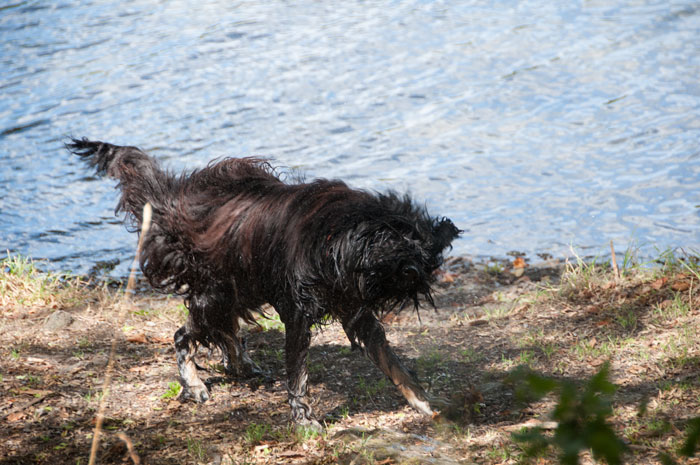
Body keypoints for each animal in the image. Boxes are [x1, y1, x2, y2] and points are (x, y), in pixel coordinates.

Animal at [65, 138, 460, 428]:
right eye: (401, 266)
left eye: (421, 266)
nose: (417, 274)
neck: (337, 238)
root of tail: (172, 199)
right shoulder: (299, 313)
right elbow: (298, 375)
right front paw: (304, 421)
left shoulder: (355, 308)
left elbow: (394, 364)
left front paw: (425, 403)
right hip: (215, 292)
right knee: (184, 335)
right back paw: (194, 383)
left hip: (239, 286)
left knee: (225, 330)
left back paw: (239, 363)